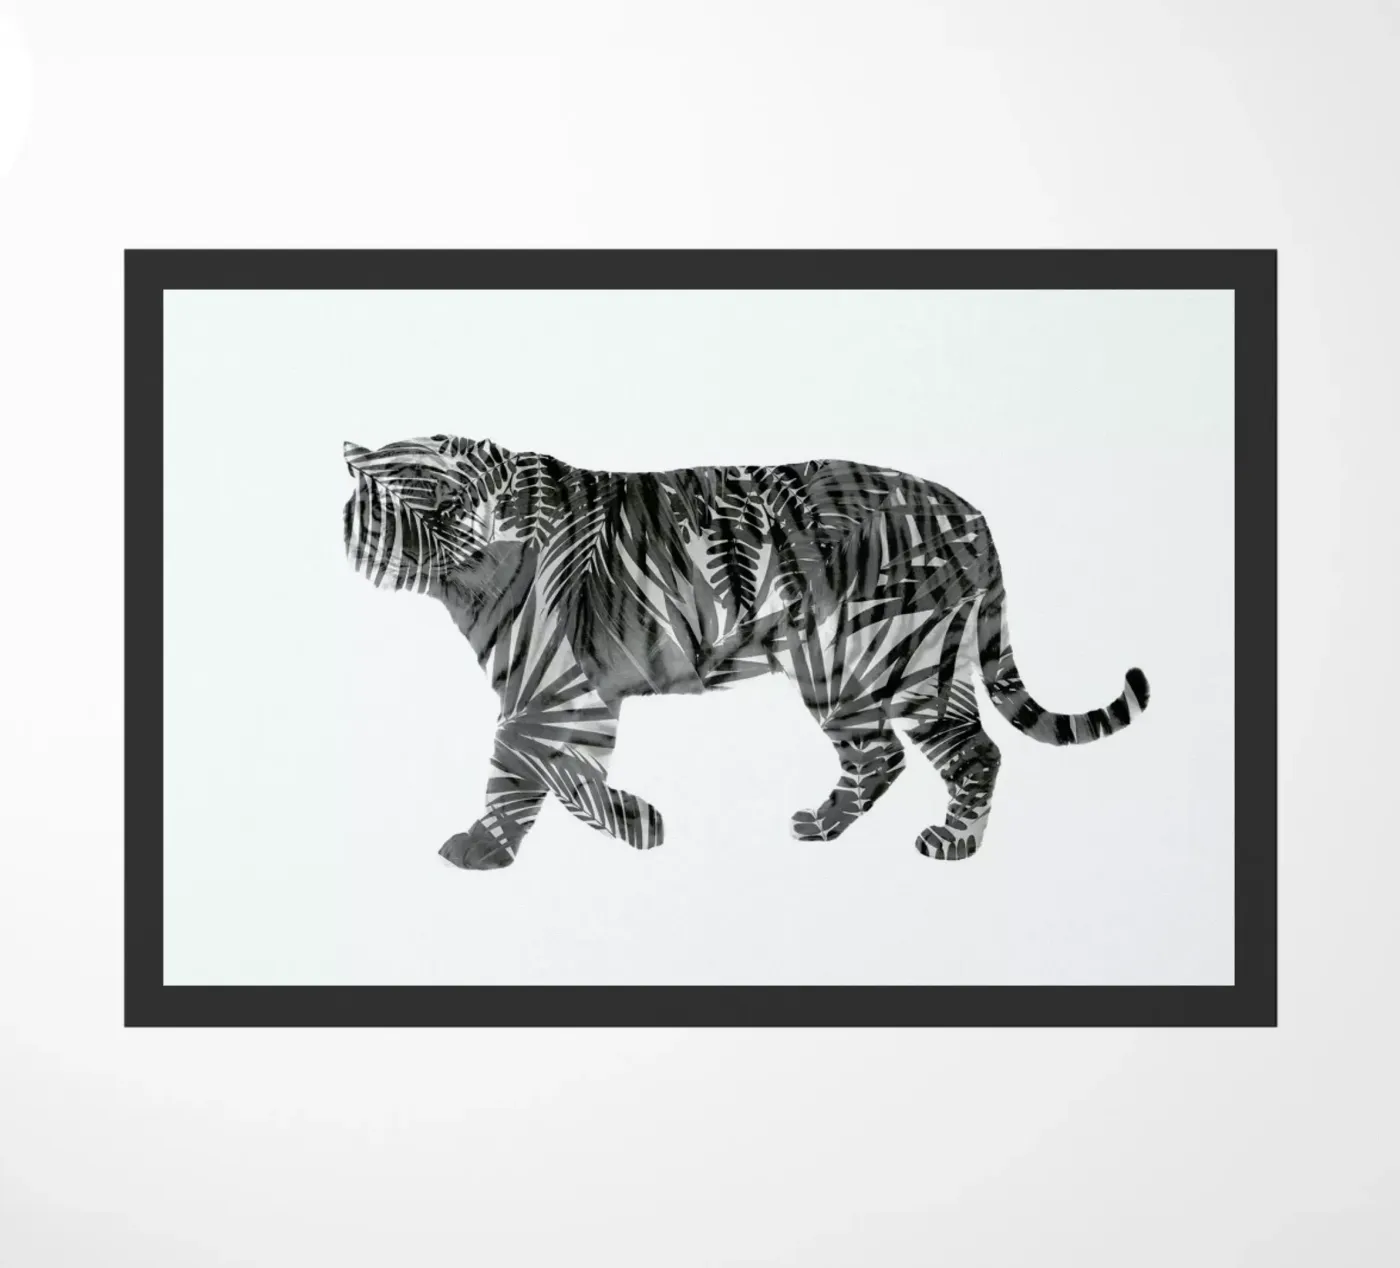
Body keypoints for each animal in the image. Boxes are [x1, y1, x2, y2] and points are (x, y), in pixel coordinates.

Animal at [343, 435, 1149, 870]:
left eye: (462, 501)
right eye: (421, 505)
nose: (470, 539)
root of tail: (971, 509)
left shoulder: (553, 688)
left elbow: (529, 768)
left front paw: (609, 830)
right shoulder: (554, 694)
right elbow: (541, 771)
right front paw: (614, 827)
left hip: (876, 659)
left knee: (946, 753)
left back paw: (941, 843)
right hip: (890, 671)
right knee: (903, 755)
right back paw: (844, 829)